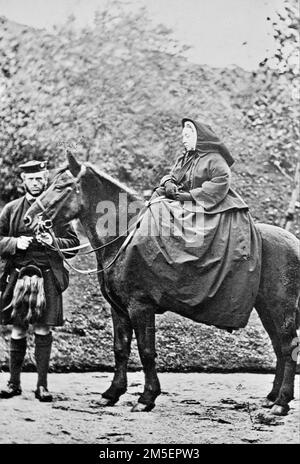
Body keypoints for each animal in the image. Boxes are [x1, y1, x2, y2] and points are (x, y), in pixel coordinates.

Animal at [24, 153, 300, 416]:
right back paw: (272, 398)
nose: (28, 220)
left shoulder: (140, 307)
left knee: (289, 347)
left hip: (281, 309)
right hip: (267, 310)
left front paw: (146, 398)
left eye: (62, 186)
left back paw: (281, 403)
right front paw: (112, 393)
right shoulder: (118, 309)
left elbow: (146, 351)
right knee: (279, 348)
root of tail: (294, 242)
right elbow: (120, 349)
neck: (125, 237)